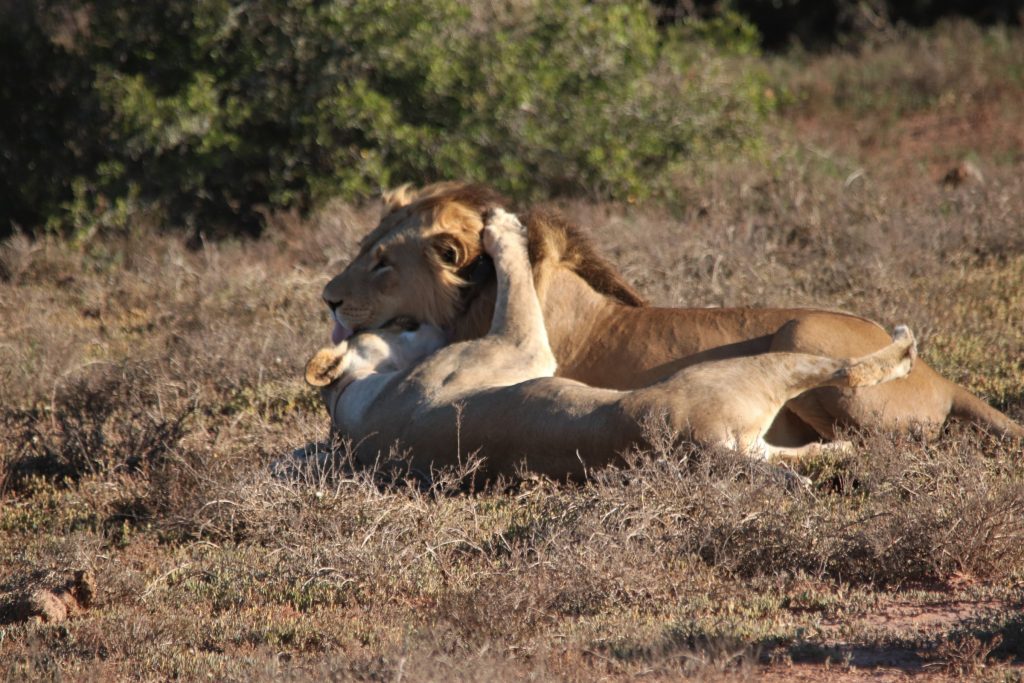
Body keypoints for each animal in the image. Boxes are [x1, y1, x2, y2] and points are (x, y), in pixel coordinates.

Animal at [307, 209, 917, 481]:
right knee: (845, 368)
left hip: (761, 444)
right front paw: (502, 228)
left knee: (816, 449)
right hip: (762, 365)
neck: (353, 401)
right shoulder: (519, 349)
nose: (426, 326)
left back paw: (843, 450)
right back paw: (903, 345)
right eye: (404, 329)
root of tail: (705, 448)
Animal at [321, 181, 1024, 444]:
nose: (327, 297)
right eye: (363, 248)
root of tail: (945, 379)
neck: (476, 299)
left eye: (382, 262)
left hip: (804, 327)